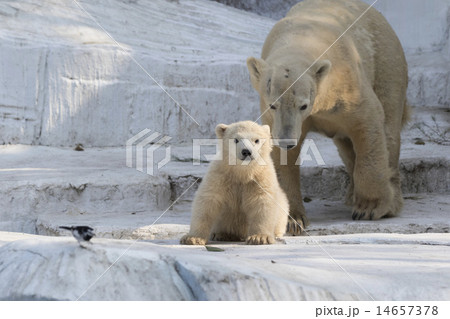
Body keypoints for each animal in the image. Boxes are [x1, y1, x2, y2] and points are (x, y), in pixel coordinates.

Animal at [248, 0, 410, 235]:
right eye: (273, 104)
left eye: (303, 105)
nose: (287, 141)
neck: (301, 37)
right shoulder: (276, 120)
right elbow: (282, 159)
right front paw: (292, 220)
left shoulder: (346, 84)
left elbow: (367, 123)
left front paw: (369, 208)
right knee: (345, 145)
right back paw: (351, 195)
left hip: (386, 60)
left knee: (388, 127)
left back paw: (389, 202)